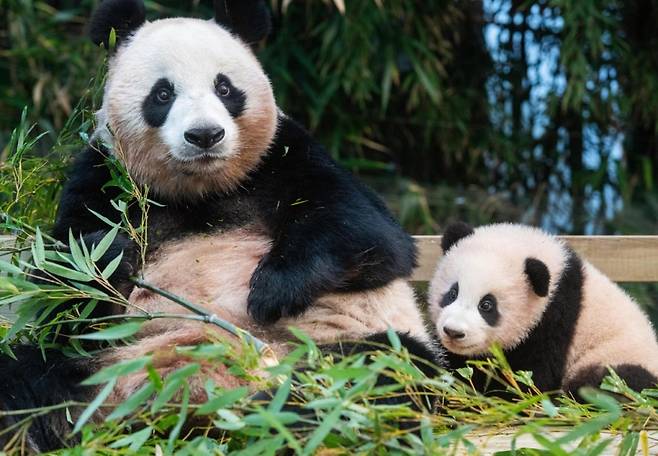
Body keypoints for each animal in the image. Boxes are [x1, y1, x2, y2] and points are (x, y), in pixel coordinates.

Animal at [2, 0, 440, 448]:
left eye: (225, 89)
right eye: (163, 93)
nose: (205, 135)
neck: (201, 191)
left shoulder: (284, 155)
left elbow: (371, 236)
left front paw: (270, 291)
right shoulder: (101, 176)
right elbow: (60, 297)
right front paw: (109, 255)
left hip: (335, 345)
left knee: (387, 369)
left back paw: (290, 414)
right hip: (104, 364)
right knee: (27, 377)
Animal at [426, 223, 656, 398]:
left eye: (487, 305)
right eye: (452, 293)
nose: (454, 332)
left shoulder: (554, 319)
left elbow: (534, 376)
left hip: (619, 361)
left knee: (608, 384)